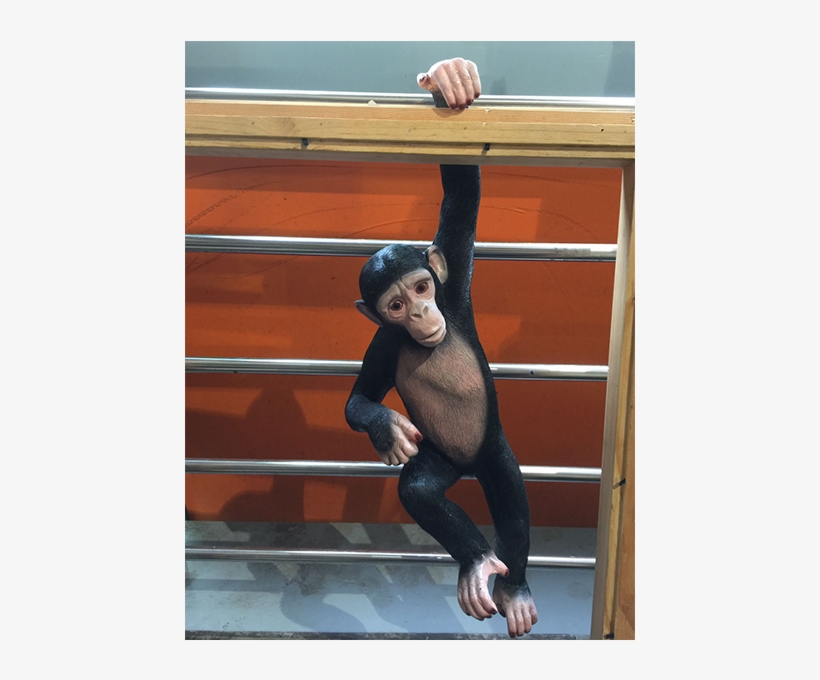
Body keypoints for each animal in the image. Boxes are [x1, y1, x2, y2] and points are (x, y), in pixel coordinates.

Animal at [345, 59, 539, 638]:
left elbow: (461, 192)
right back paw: (475, 561)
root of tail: (468, 467)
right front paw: (386, 428)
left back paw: (512, 586)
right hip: (443, 457)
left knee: (513, 505)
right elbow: (360, 397)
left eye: (422, 288)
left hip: (492, 450)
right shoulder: (383, 343)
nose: (421, 314)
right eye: (395, 305)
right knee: (420, 489)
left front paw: (452, 82)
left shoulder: (455, 283)